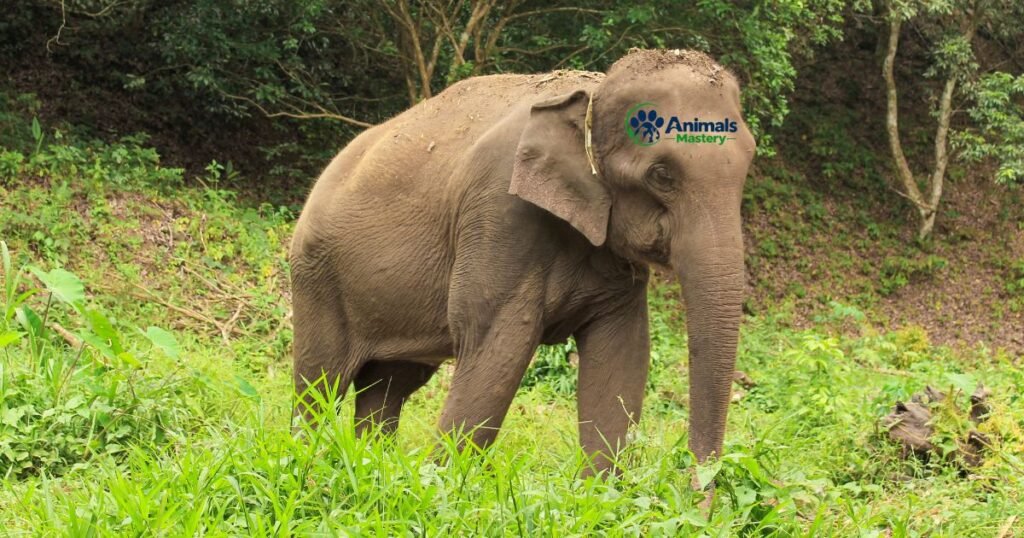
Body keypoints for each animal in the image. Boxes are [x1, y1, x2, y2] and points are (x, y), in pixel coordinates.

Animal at [290, 48, 755, 473]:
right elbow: (498, 344)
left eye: (749, 162)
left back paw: (371, 463)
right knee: (320, 384)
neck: (593, 91)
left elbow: (623, 350)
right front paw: (442, 483)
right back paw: (307, 459)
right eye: (661, 175)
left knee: (388, 385)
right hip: (317, 279)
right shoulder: (499, 213)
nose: (698, 487)